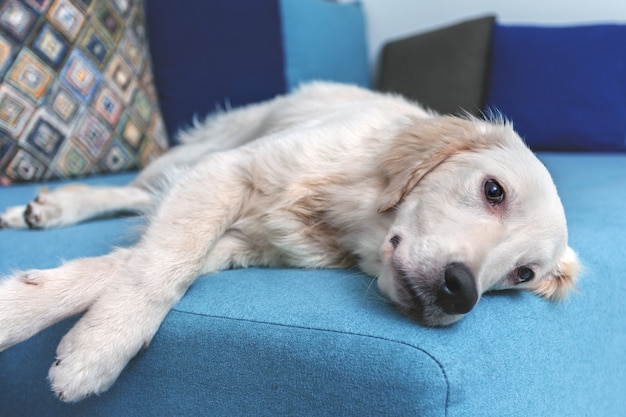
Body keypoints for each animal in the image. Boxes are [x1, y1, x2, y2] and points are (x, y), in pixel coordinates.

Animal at [0, 80, 576, 400]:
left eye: (522, 274)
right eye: (493, 190)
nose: (461, 292)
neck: (344, 215)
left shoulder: (238, 241)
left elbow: (132, 263)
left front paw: (37, 308)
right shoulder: (226, 171)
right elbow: (163, 262)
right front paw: (100, 348)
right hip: (203, 149)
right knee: (131, 188)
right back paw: (53, 206)